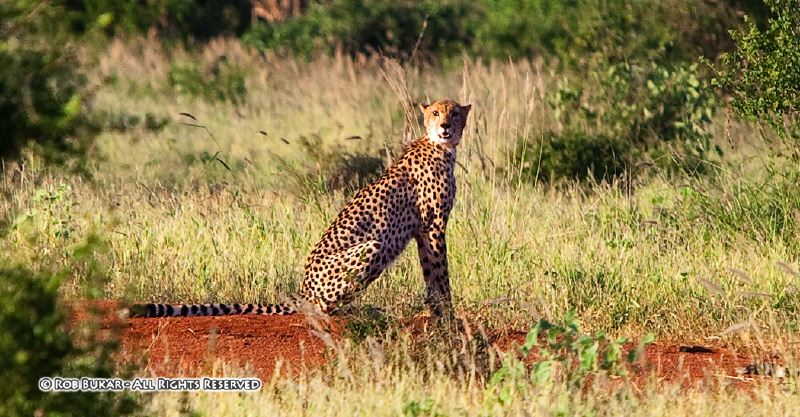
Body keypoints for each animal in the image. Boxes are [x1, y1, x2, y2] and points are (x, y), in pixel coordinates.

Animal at [129, 98, 472, 318]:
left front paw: (438, 312)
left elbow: (430, 274)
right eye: (436, 113)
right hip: (374, 245)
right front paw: (448, 314)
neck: (441, 147)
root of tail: (304, 289)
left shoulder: (424, 231)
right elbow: (440, 273)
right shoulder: (432, 226)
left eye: (455, 113)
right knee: (320, 306)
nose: (444, 126)